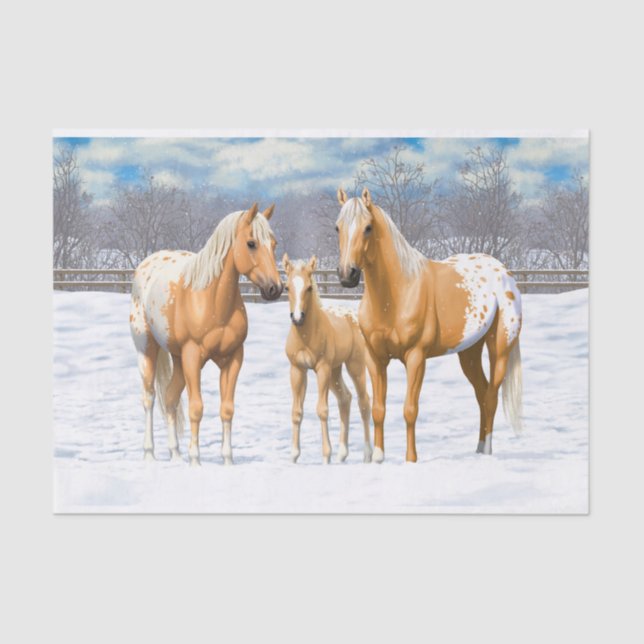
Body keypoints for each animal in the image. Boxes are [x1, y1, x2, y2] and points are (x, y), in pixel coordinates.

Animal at [129, 203, 283, 466]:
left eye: (273, 244)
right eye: (251, 243)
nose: (275, 288)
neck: (211, 300)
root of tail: (147, 264)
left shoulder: (233, 358)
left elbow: (227, 409)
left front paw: (228, 460)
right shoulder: (193, 356)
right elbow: (196, 408)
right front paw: (195, 461)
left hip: (178, 360)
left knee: (170, 398)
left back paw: (175, 455)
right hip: (147, 350)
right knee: (149, 398)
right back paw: (149, 454)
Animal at [283, 254, 373, 464]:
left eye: (309, 287)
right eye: (287, 287)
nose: (297, 317)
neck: (306, 335)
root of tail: (352, 316)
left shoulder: (321, 369)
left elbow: (322, 410)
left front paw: (326, 456)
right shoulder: (297, 369)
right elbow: (296, 412)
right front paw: (294, 455)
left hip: (354, 366)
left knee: (364, 402)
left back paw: (367, 455)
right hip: (335, 371)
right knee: (345, 398)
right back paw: (342, 454)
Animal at [335, 188, 523, 462]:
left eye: (368, 227)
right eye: (337, 227)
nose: (346, 275)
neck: (397, 293)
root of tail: (503, 271)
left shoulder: (416, 357)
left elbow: (410, 409)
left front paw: (411, 459)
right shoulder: (375, 358)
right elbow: (378, 409)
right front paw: (379, 457)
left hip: (499, 349)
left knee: (491, 396)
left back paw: (487, 451)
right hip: (469, 353)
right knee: (481, 393)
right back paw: (478, 448)